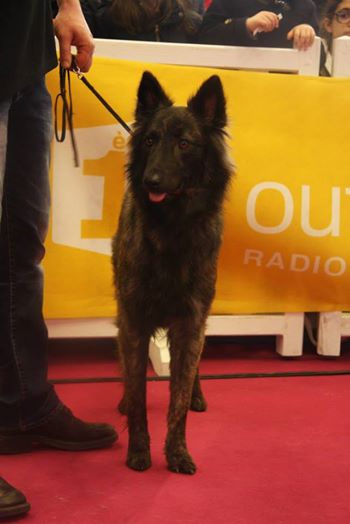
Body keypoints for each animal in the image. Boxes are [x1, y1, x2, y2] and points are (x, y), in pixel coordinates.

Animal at [112, 70, 232, 474]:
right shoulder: (133, 321)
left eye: (184, 143)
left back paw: (198, 394)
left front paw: (177, 452)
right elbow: (137, 393)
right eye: (150, 139)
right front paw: (139, 450)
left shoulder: (190, 322)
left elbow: (177, 400)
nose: (151, 180)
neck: (173, 227)